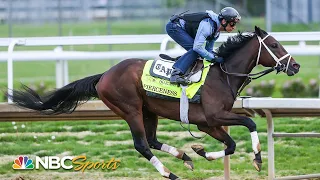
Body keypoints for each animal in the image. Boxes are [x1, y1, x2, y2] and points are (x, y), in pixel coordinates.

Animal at [8, 26, 300, 179]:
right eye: (275, 44)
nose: (295, 66)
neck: (222, 74)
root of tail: (104, 75)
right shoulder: (214, 117)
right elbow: (249, 123)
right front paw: (258, 158)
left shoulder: (206, 124)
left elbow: (230, 145)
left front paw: (201, 151)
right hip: (130, 109)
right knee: (142, 145)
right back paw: (171, 173)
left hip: (149, 111)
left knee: (152, 140)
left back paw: (185, 157)